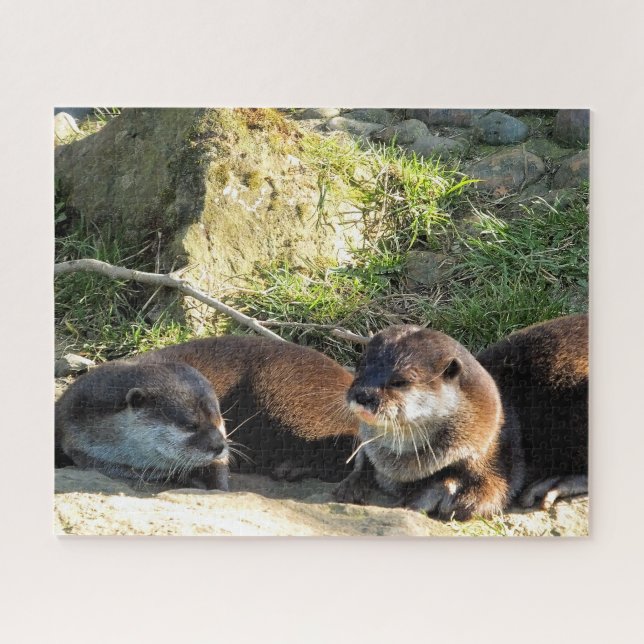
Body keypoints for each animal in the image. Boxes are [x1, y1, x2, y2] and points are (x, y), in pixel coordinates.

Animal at [339, 315, 588, 520]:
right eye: (359, 367)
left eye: (400, 381)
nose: (363, 395)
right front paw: (352, 481)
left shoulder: (499, 455)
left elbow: (490, 494)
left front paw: (438, 492)